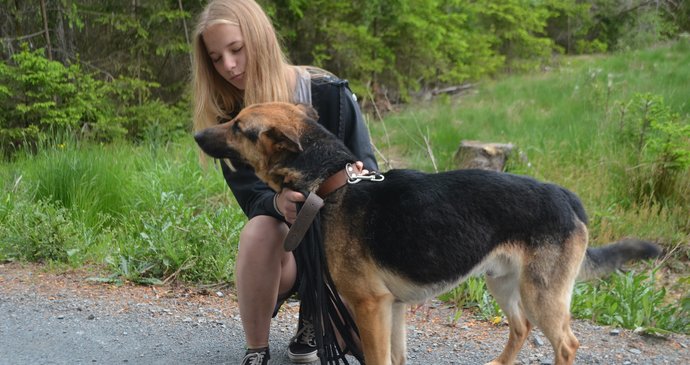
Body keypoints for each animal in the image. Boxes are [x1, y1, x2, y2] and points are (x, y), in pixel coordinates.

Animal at [192, 101, 656, 364]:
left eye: (238, 126)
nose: (195, 133)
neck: (333, 183)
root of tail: (567, 197)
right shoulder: (392, 308)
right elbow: (395, 360)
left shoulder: (370, 307)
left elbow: (379, 361)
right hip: (504, 282)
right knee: (521, 327)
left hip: (540, 293)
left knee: (566, 344)